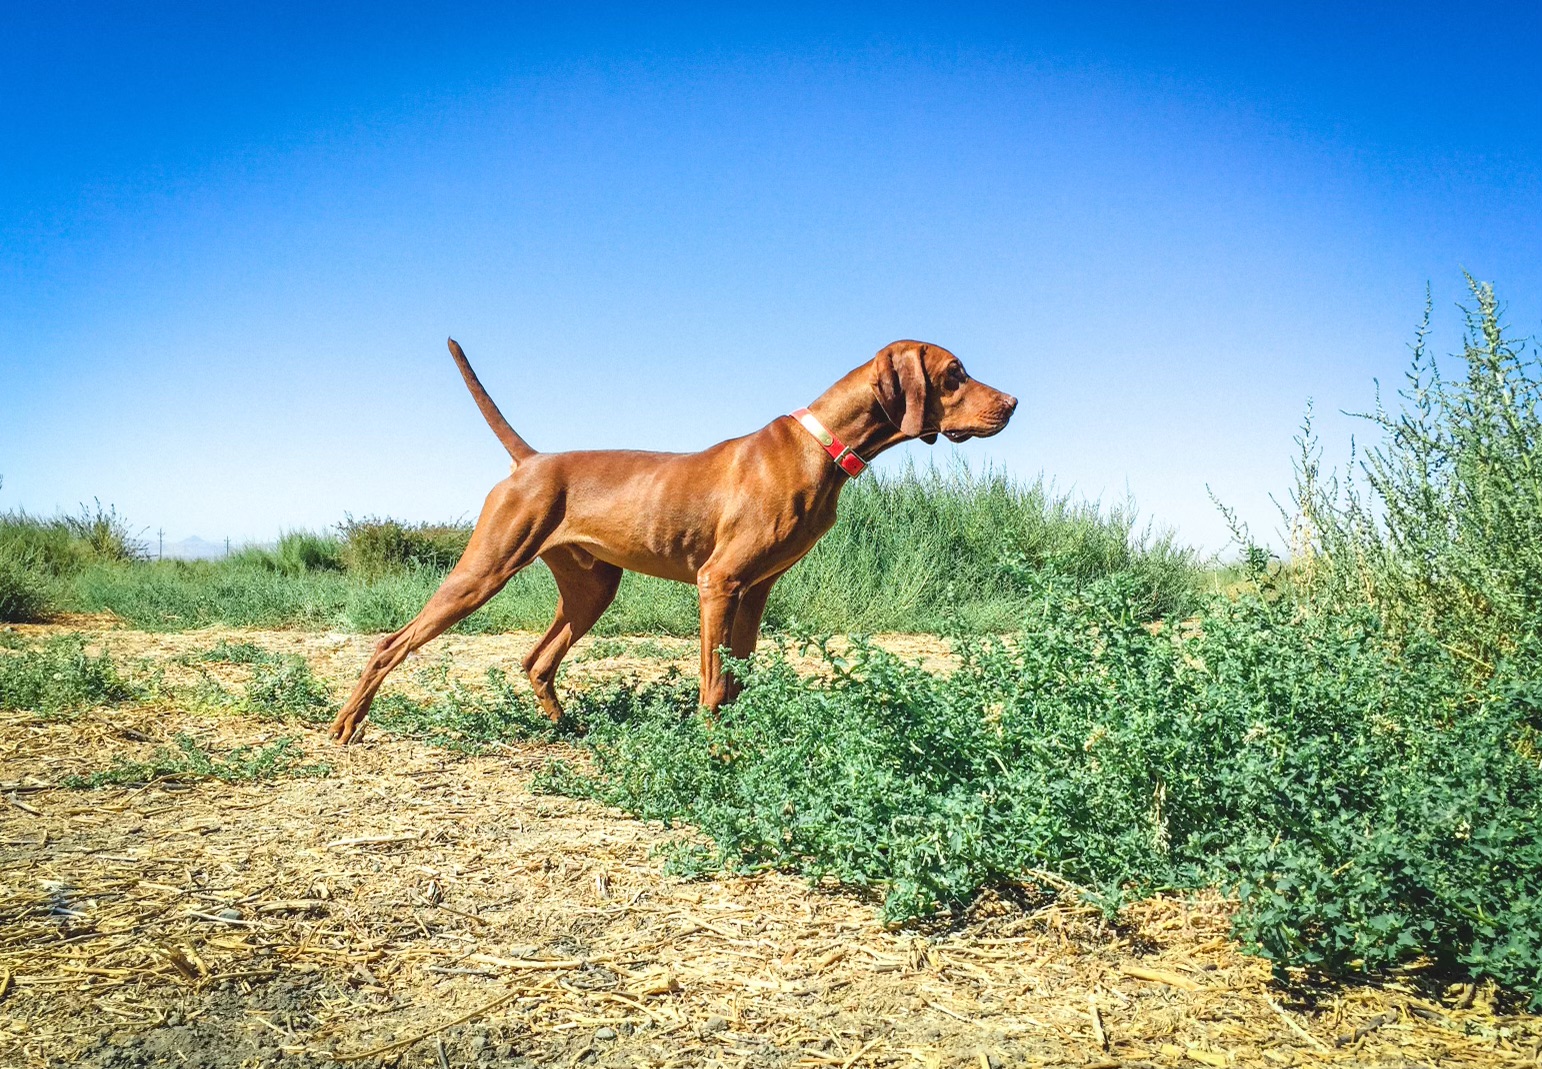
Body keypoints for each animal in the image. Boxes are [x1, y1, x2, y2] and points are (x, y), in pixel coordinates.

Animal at [328, 337, 1011, 737]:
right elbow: (712, 683)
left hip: (592, 588)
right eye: (955, 373)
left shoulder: (754, 592)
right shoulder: (718, 583)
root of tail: (532, 461)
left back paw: (566, 731)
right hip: (483, 571)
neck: (822, 445)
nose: (1013, 403)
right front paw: (712, 751)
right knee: (391, 643)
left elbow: (736, 678)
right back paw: (347, 725)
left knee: (536, 660)